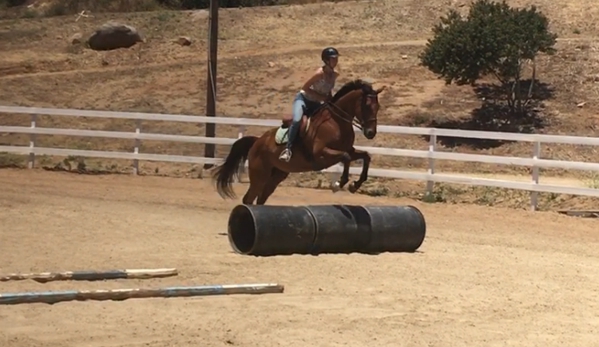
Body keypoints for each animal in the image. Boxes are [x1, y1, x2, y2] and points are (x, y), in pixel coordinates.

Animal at [213, 78, 386, 207]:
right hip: (260, 175)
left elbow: (365, 156)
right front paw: (339, 184)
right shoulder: (321, 154)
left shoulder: (349, 149)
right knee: (249, 198)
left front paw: (355, 185)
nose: (371, 133)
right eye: (366, 106)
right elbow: (346, 157)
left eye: (378, 106)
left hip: (277, 176)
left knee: (260, 199)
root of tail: (257, 142)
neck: (336, 122)